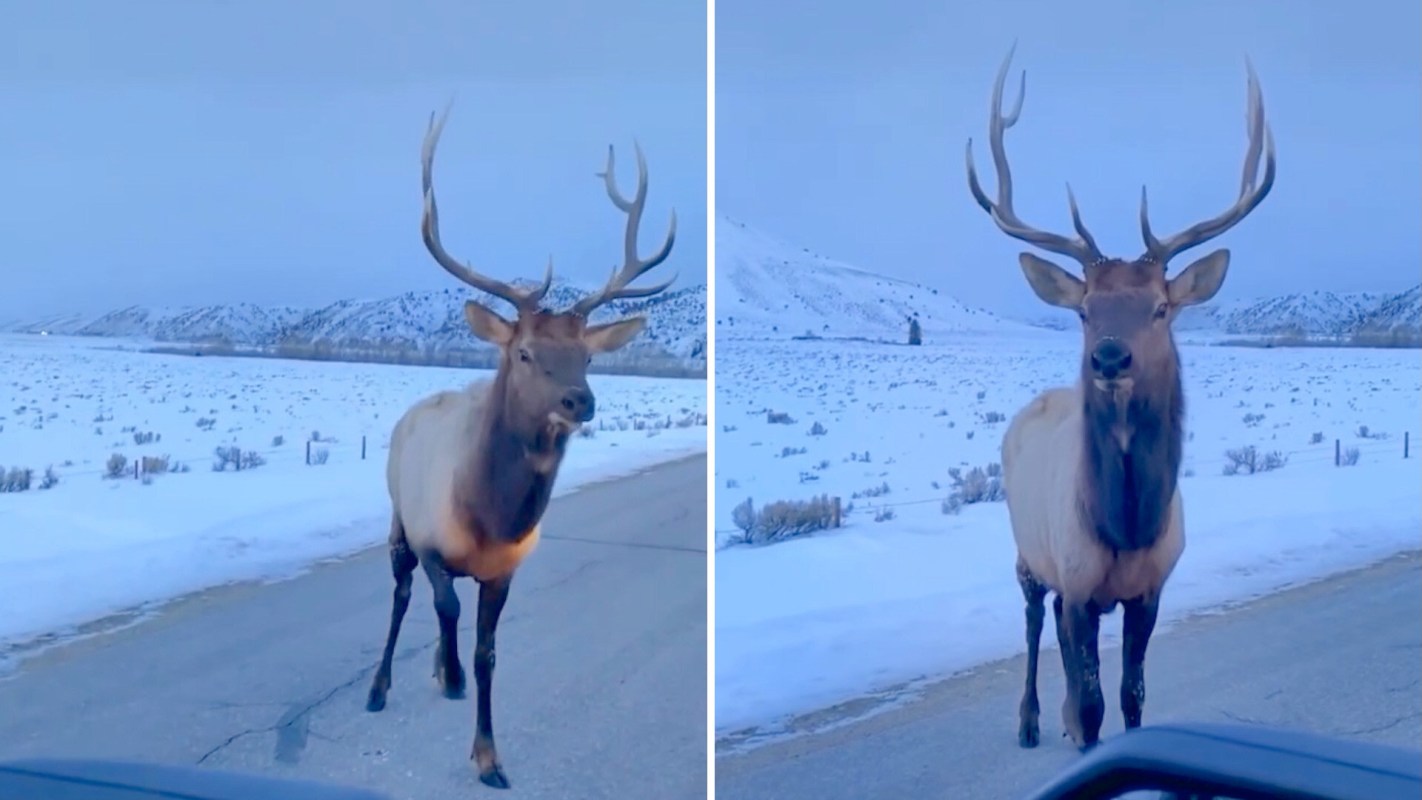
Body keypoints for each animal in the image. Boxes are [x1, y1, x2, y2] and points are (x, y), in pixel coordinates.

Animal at [363, 104, 677, 789]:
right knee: (401, 595)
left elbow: (488, 652)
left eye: (588, 355)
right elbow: (443, 603)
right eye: (526, 352)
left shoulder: (505, 571)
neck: (490, 515)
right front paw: (450, 677)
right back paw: (381, 685)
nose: (580, 402)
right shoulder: (430, 539)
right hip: (396, 517)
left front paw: (488, 754)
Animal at [964, 46, 1275, 751]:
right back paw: (1030, 721)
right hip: (1028, 549)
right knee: (1033, 618)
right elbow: (1094, 703)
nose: (1109, 357)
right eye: (1084, 310)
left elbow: (1131, 696)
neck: (1126, 525)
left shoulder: (1150, 589)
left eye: (1161, 307)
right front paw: (1078, 732)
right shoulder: (1079, 582)